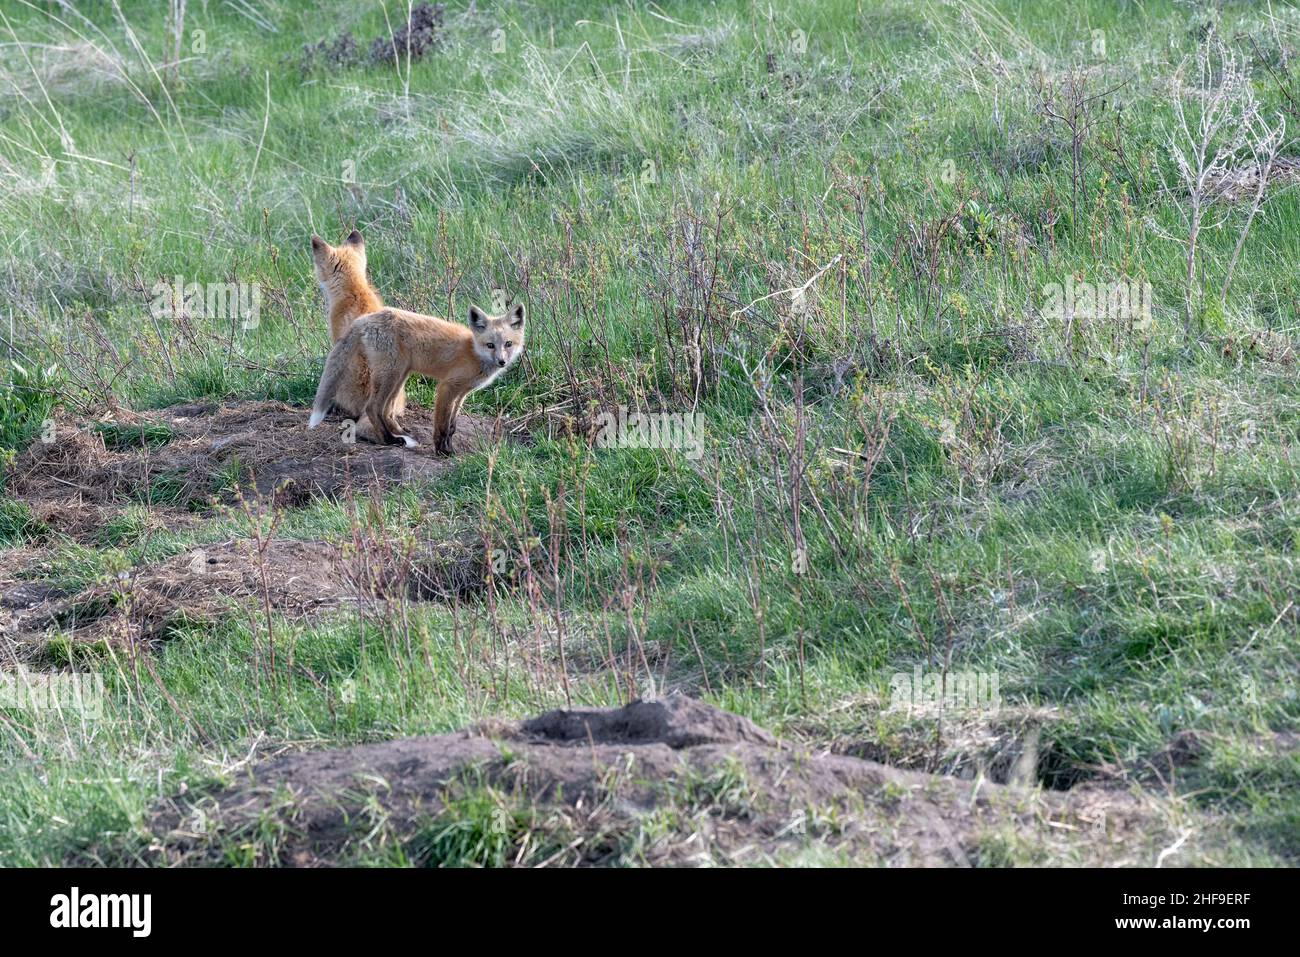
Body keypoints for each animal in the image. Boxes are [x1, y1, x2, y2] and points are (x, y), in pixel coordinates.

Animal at [308, 302, 525, 454]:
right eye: (490, 345)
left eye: (508, 344)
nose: (502, 362)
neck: (473, 352)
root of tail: (365, 318)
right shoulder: (447, 387)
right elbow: (442, 426)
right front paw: (443, 451)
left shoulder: (462, 392)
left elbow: (452, 426)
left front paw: (449, 448)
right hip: (390, 374)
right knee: (373, 408)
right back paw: (389, 440)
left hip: (400, 375)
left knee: (386, 411)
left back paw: (400, 434)